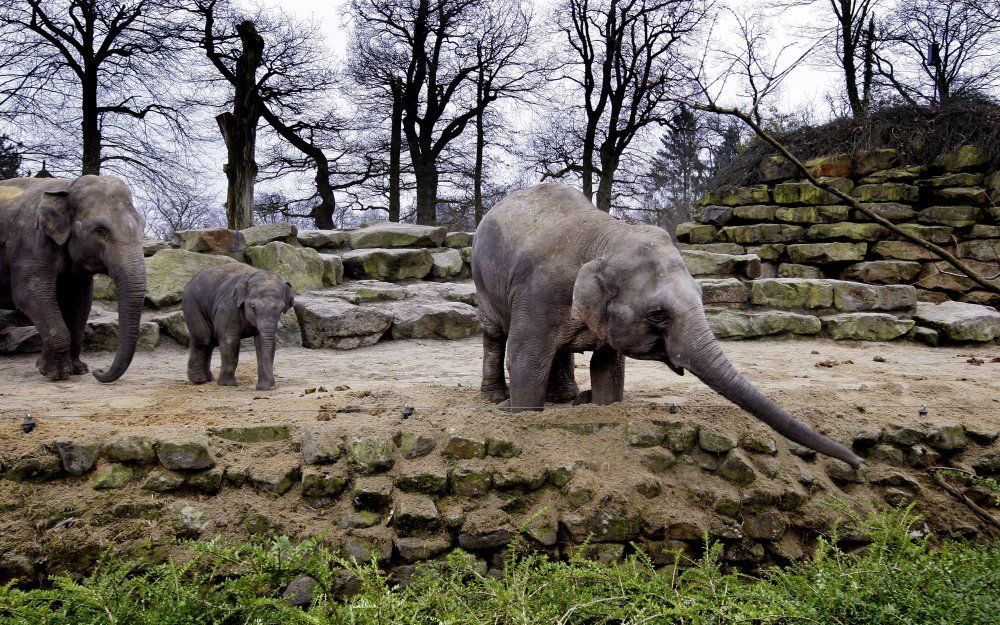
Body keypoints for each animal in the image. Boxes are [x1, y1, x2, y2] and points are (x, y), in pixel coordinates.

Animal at [0, 173, 147, 382]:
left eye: (142, 226)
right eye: (100, 230)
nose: (98, 372)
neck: (66, 187)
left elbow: (80, 301)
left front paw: (79, 369)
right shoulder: (29, 243)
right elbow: (29, 295)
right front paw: (56, 374)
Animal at [472, 183, 864, 466]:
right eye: (658, 314)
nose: (858, 462)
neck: (607, 236)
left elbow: (607, 366)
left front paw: (599, 404)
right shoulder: (538, 293)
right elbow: (526, 356)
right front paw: (517, 413)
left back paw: (566, 397)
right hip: (483, 280)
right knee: (494, 333)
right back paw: (496, 398)